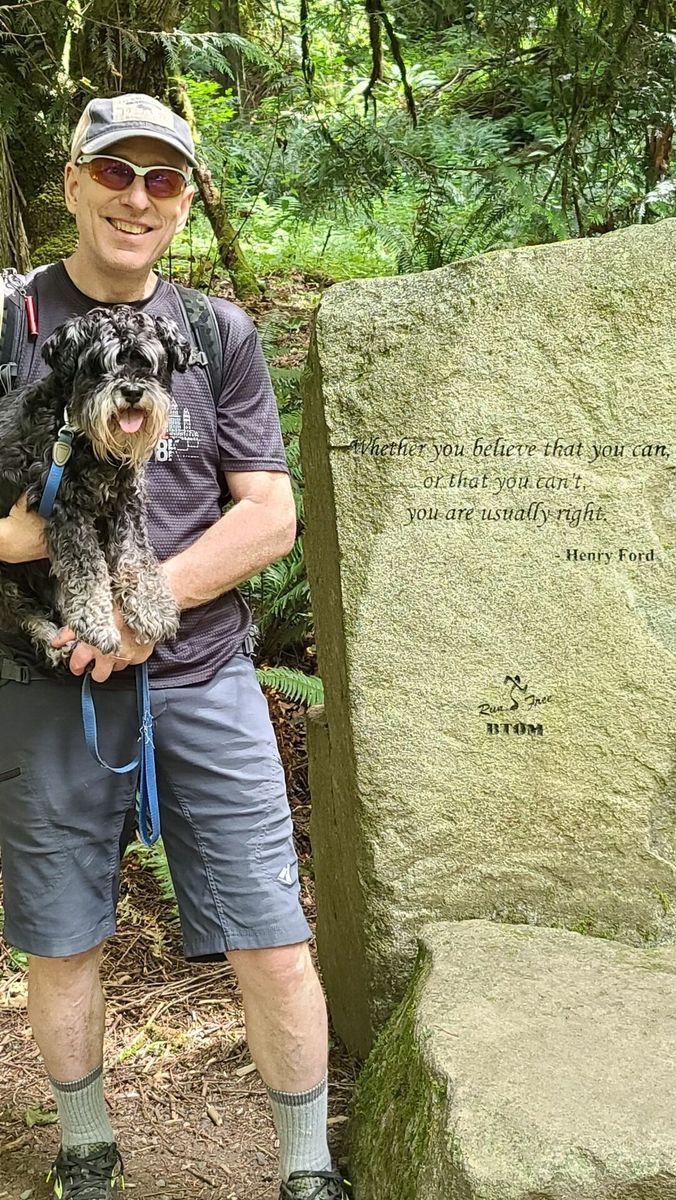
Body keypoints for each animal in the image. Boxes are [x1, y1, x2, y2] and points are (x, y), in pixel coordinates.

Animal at [0, 306, 194, 669]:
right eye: (99, 364)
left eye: (147, 362)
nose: (132, 391)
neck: (74, 430)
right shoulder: (65, 507)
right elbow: (87, 569)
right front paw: (97, 623)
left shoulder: (126, 503)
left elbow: (136, 556)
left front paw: (153, 607)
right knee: (18, 610)